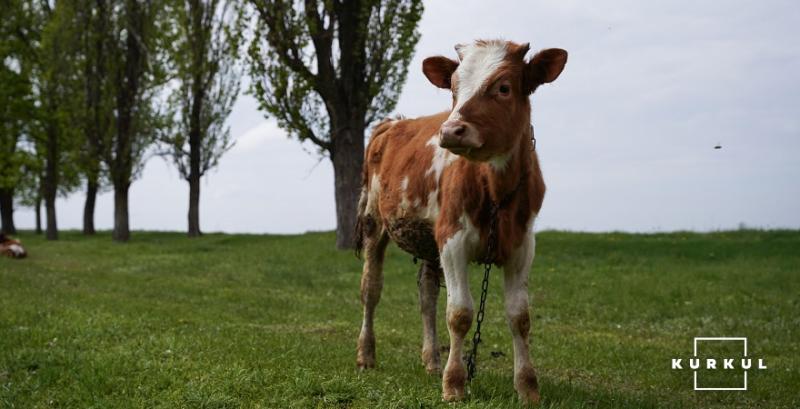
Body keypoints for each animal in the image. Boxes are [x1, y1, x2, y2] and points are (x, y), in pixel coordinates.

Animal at [354, 38, 564, 402]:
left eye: (503, 87)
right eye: (453, 88)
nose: (451, 130)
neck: (495, 188)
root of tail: (393, 123)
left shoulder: (523, 244)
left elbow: (520, 316)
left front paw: (527, 387)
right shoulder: (453, 240)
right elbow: (460, 313)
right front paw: (454, 383)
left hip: (428, 237)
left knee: (427, 294)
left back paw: (432, 361)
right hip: (374, 222)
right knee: (371, 288)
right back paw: (367, 355)